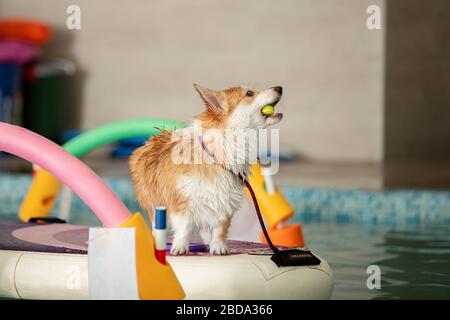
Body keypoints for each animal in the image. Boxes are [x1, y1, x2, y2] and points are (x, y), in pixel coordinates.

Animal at [129, 84, 282, 255]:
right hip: (154, 203)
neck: (218, 152)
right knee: (157, 224)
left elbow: (219, 228)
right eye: (249, 93)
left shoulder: (225, 200)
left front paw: (218, 246)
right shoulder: (181, 201)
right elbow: (183, 227)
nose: (279, 88)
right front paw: (180, 247)